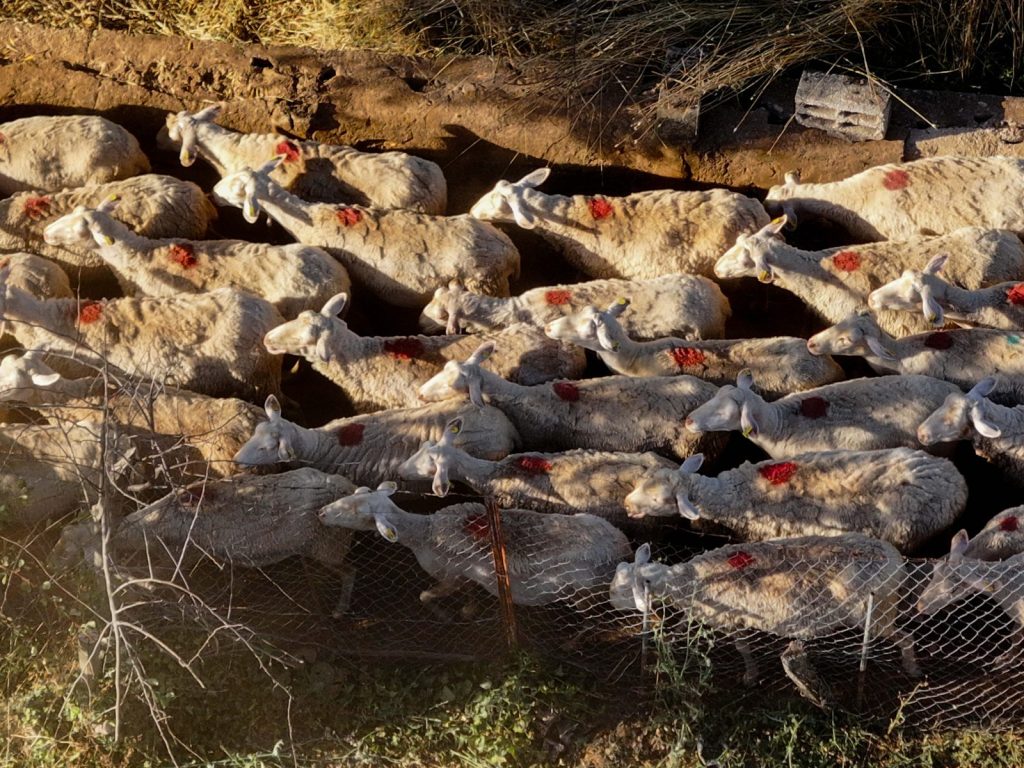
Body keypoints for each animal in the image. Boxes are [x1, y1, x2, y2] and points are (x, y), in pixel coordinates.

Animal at [112, 468, 359, 614]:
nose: (119, 527)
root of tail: (351, 487)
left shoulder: (183, 553)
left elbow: (157, 578)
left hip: (329, 548)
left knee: (351, 572)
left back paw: (339, 611)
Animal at [318, 485, 633, 608]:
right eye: (357, 493)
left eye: (356, 510)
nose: (320, 512)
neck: (424, 533)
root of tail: (622, 547)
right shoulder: (467, 576)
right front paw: (469, 610)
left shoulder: (450, 574)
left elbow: (427, 596)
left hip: (584, 593)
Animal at [417, 342, 727, 462]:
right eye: (444, 368)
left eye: (454, 382)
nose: (419, 394)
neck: (521, 399)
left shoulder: (545, 441)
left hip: (696, 445)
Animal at [610, 535, 919, 683]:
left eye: (624, 590)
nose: (610, 600)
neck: (688, 580)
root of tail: (896, 560)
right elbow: (679, 629)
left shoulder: (730, 618)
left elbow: (742, 648)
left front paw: (750, 675)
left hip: (875, 612)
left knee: (907, 638)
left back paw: (911, 668)